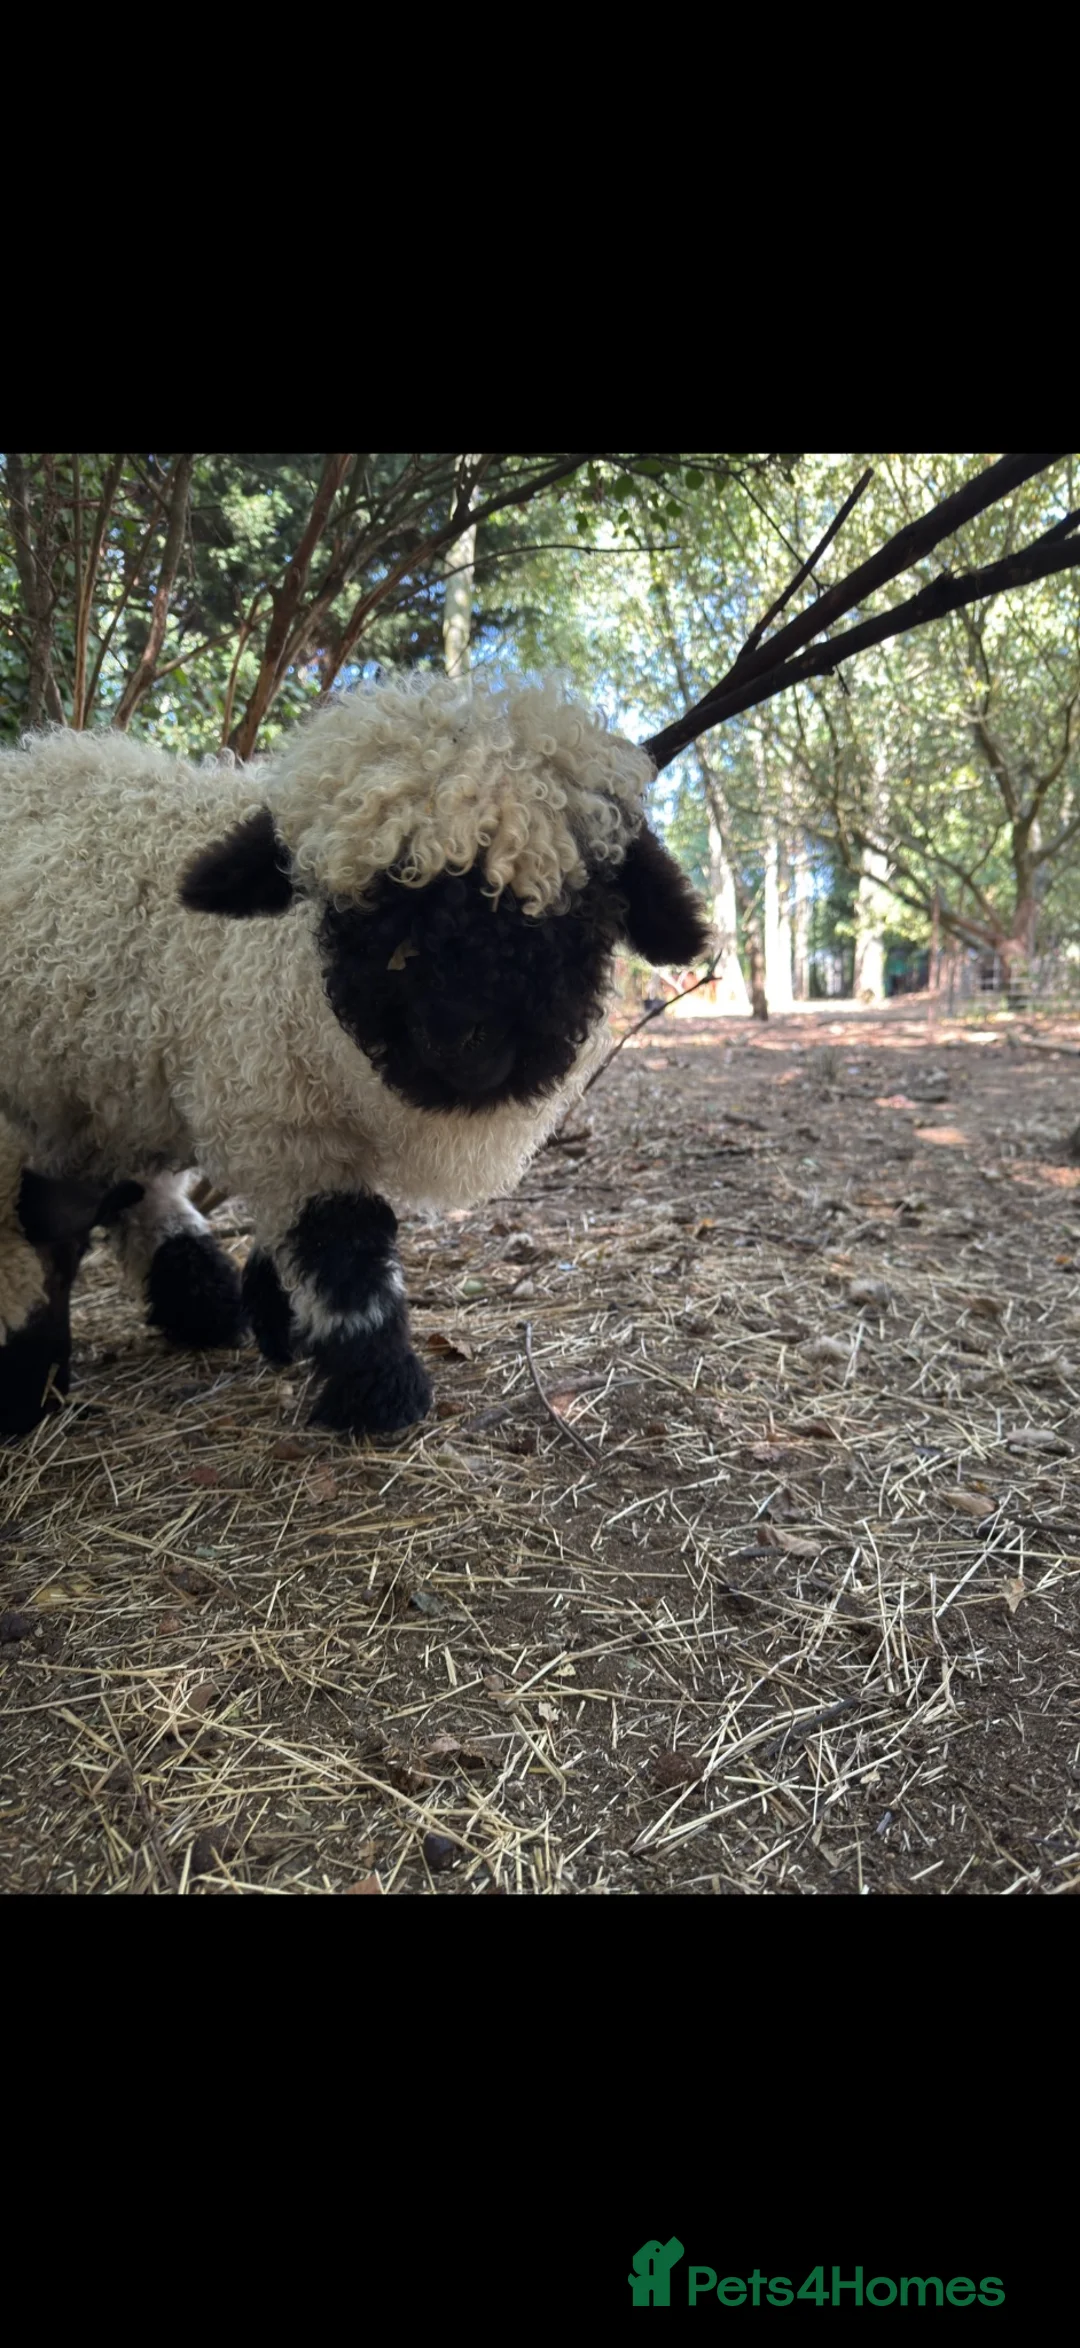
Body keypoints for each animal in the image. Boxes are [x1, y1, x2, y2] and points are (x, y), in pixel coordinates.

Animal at [0, 672, 710, 1437]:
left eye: (562, 910)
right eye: (364, 913)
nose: (458, 1041)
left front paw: (275, 1315)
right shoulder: (281, 1120)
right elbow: (344, 1250)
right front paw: (379, 1394)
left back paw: (194, 1300)